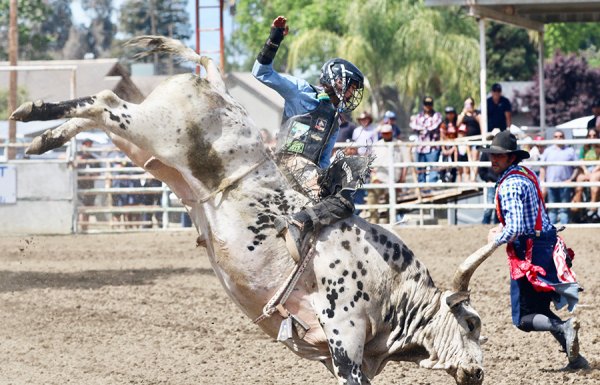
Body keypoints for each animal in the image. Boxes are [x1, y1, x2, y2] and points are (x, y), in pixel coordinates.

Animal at [11, 35, 500, 380]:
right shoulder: (344, 339)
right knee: (105, 102)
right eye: (472, 323)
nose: (478, 372)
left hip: (143, 149)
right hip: (149, 128)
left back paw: (41, 138)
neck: (391, 285)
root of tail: (211, 80)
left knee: (96, 114)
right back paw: (30, 111)